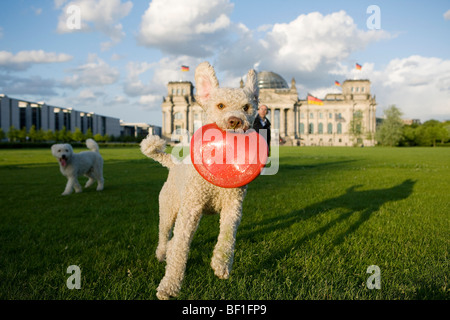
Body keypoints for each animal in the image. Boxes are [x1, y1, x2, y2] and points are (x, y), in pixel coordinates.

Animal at [141, 62, 260, 300]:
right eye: (220, 105)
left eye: (246, 107)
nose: (235, 121)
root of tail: (172, 164)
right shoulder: (190, 212)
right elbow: (180, 248)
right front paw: (169, 286)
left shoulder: (233, 207)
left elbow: (227, 237)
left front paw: (221, 265)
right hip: (169, 209)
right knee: (165, 234)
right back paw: (162, 253)